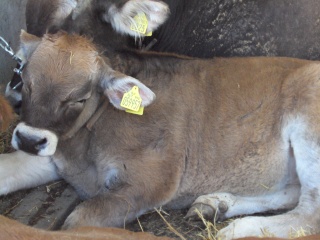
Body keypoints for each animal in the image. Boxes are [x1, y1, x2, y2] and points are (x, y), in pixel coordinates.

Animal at [0, 30, 320, 240]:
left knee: (310, 213)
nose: (29, 139)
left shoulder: (153, 181)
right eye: (25, 81)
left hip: (309, 128)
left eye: (79, 98)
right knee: (293, 193)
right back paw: (215, 204)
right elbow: (7, 168)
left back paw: (238, 230)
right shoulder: (55, 155)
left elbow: (78, 221)